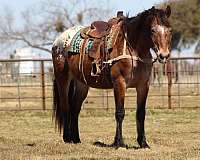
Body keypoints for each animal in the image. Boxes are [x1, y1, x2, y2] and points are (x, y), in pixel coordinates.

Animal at [51, 6, 172, 149]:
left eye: (170, 30)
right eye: (152, 30)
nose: (164, 55)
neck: (134, 50)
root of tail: (57, 42)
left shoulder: (143, 85)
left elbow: (141, 113)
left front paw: (143, 143)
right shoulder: (119, 83)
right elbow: (120, 113)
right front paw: (119, 142)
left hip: (81, 84)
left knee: (75, 109)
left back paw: (76, 139)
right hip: (63, 79)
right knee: (65, 106)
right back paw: (67, 138)